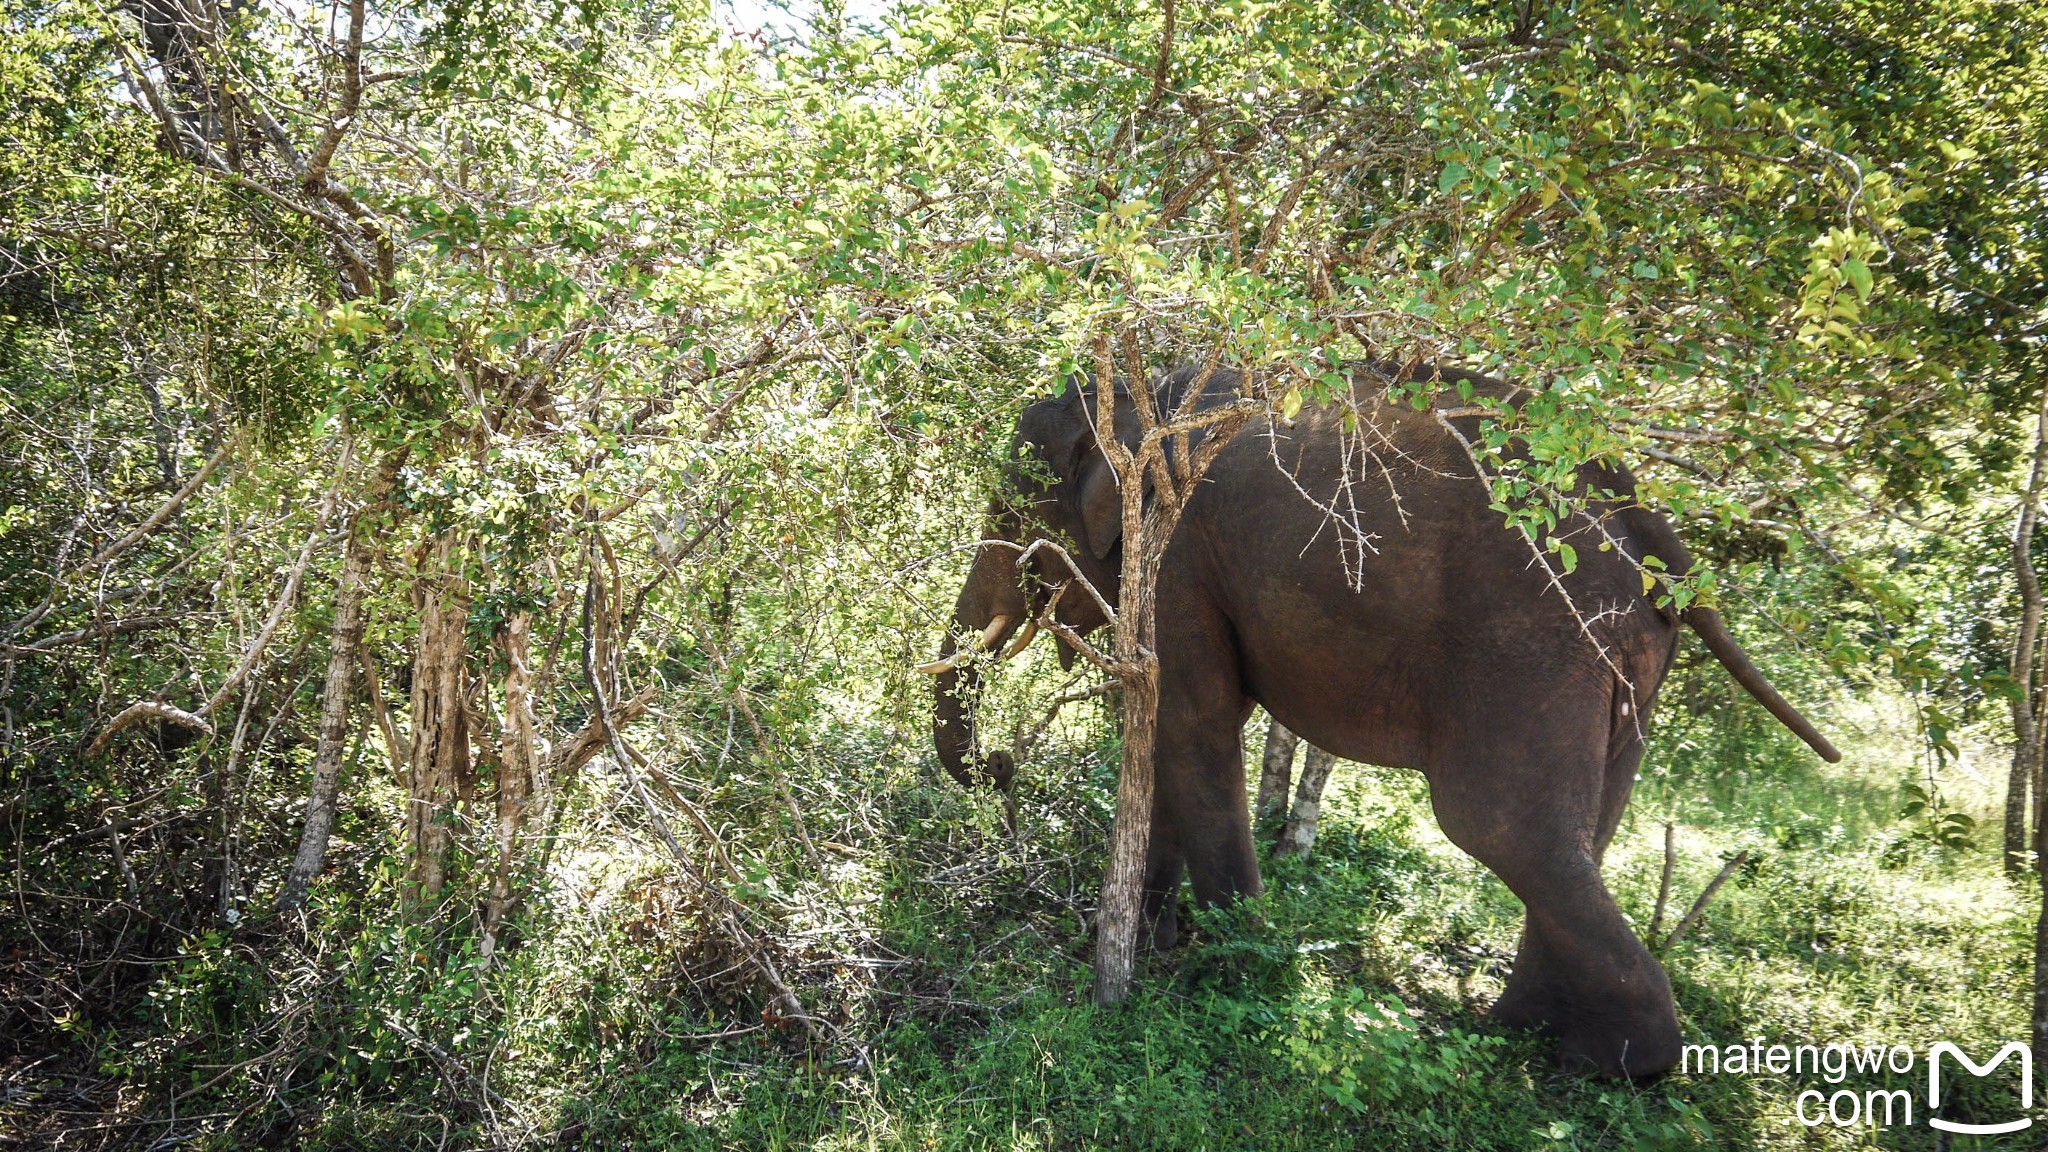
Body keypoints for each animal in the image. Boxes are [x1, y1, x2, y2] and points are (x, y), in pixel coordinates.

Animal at [929, 360, 1843, 1074]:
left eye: (1010, 516)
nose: (1001, 764)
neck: (1137, 396)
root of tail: (1657, 534)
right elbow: (1168, 735)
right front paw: (1154, 950)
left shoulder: (1178, 555)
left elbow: (1192, 725)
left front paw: (1230, 976)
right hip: (1626, 667)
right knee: (1583, 832)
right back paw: (1524, 1036)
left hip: (1534, 645)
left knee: (1499, 825)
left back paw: (1609, 1069)